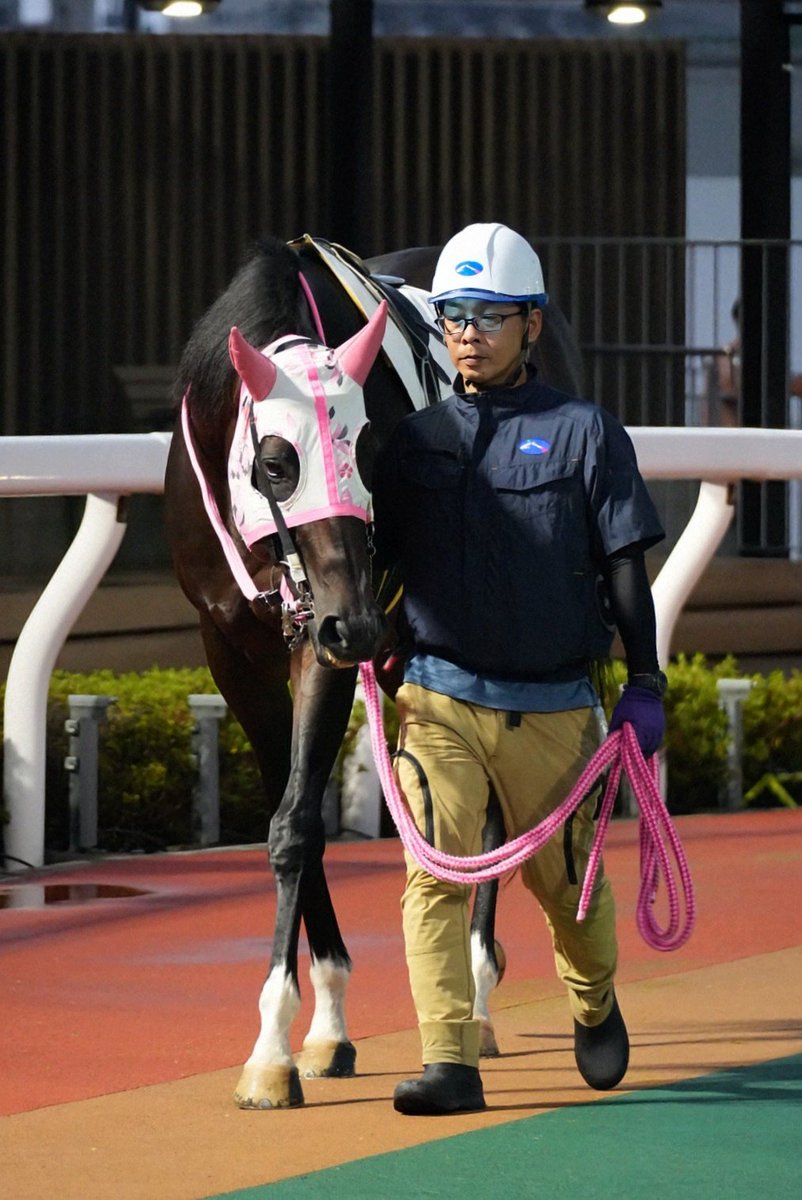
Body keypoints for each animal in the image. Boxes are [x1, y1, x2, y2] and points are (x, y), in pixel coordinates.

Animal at [164, 234, 583, 1109]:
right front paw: (323, 1028)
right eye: (277, 463)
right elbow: (292, 816)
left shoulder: (325, 640)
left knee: (498, 804)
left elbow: (296, 824)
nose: (354, 622)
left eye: (371, 451)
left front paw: (270, 1052)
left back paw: (479, 995)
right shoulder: (233, 649)